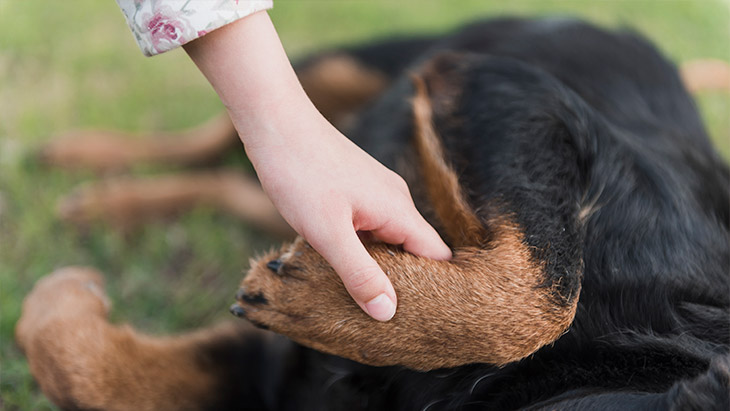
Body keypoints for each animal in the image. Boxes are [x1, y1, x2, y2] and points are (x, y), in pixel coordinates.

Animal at [14, 16, 724, 411]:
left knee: (236, 177)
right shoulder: (512, 93)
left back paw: (113, 203)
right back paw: (86, 161)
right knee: (221, 131)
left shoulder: (272, 377)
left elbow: (83, 368)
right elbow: (546, 288)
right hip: (356, 64)